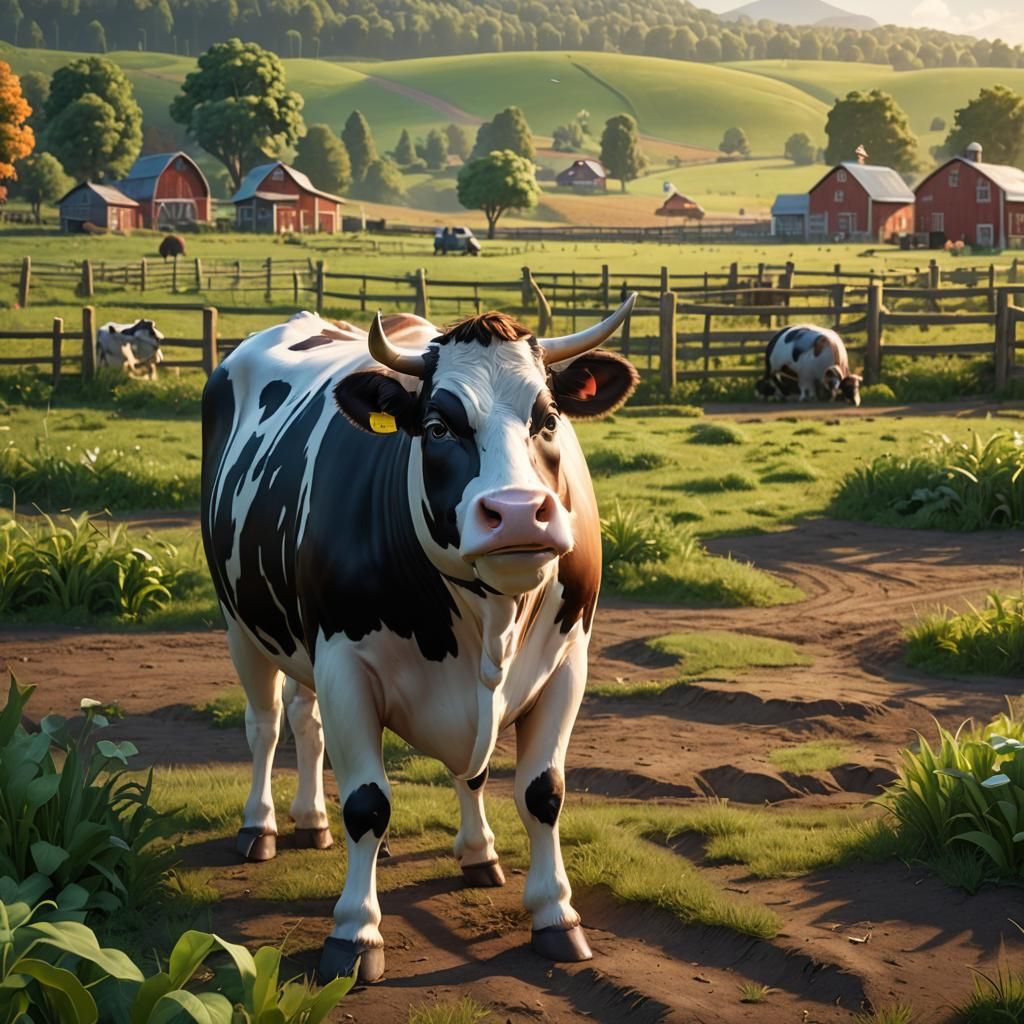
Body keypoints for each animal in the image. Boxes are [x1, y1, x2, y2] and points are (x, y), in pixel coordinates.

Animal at [200, 298, 639, 984]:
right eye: (436, 426)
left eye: (547, 418)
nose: (519, 512)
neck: (488, 621)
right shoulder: (345, 663)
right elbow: (368, 804)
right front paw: (355, 933)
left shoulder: (568, 662)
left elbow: (537, 791)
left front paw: (550, 910)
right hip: (240, 623)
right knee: (265, 725)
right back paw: (261, 827)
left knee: (305, 721)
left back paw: (313, 820)